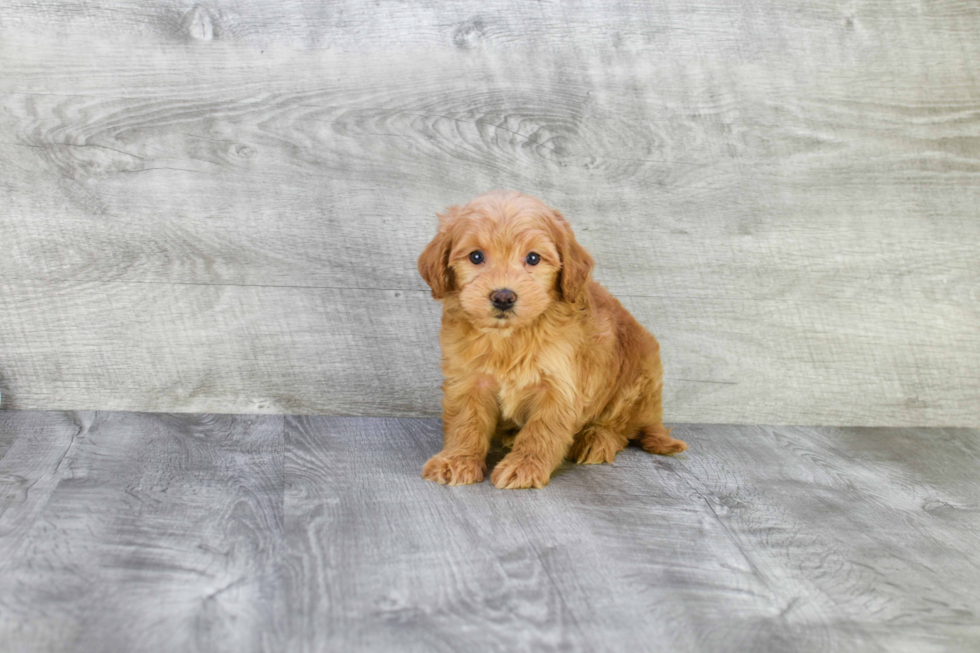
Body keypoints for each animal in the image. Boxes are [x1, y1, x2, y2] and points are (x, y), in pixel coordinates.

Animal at [418, 191, 684, 486]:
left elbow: (542, 430)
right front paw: (457, 460)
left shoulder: (561, 386)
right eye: (476, 256)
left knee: (619, 427)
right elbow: (466, 421)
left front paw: (524, 466)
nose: (503, 297)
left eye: (533, 258)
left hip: (635, 382)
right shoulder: (468, 380)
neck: (511, 337)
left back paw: (595, 439)